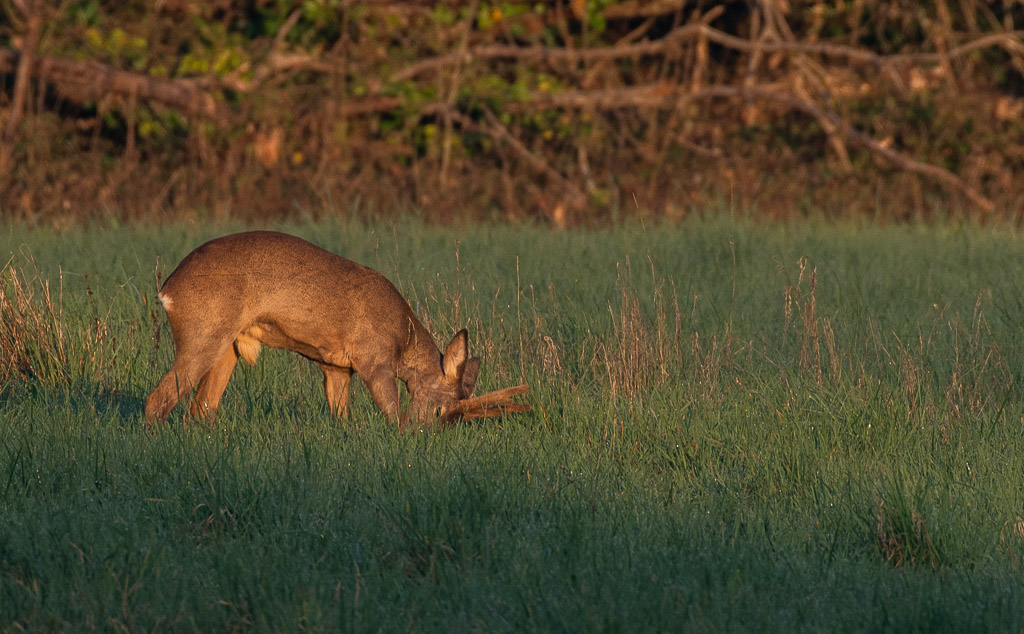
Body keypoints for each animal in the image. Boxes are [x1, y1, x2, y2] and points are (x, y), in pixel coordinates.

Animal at [144, 233, 528, 432]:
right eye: (439, 412)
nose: (426, 436)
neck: (403, 340)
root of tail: (167, 290)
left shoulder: (336, 367)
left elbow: (340, 414)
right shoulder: (374, 360)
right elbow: (391, 411)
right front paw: (400, 435)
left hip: (230, 347)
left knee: (200, 410)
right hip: (204, 335)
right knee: (157, 400)